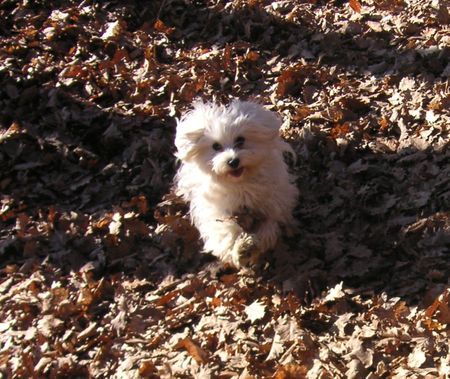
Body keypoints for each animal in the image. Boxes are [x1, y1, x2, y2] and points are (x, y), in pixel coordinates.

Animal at [174, 99, 298, 268]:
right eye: (216, 146)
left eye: (240, 140)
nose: (233, 161)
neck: (241, 184)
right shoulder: (217, 209)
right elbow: (225, 227)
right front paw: (240, 248)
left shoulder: (276, 201)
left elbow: (270, 222)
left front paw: (253, 244)